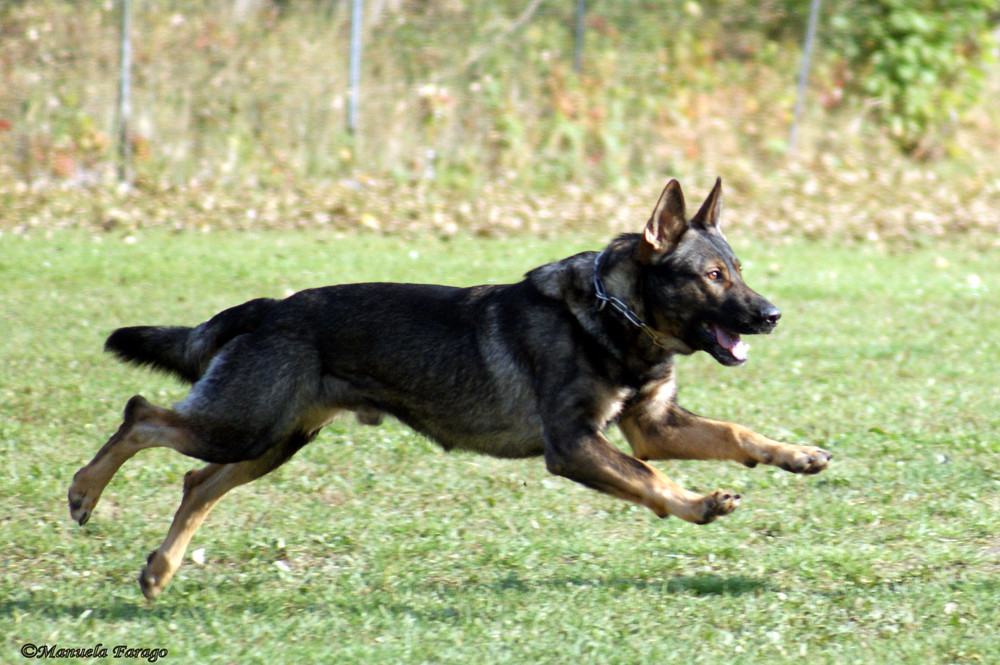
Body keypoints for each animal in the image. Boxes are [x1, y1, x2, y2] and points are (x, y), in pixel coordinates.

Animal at [70, 176, 828, 596]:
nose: (772, 315)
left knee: (196, 481)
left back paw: (159, 569)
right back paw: (83, 493)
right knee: (141, 415)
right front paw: (699, 504)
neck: (616, 316)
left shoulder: (654, 426)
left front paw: (795, 454)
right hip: (245, 425)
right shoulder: (577, 445)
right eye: (713, 277)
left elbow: (734, 433)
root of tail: (266, 308)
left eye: (739, 269)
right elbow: (648, 478)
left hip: (271, 440)